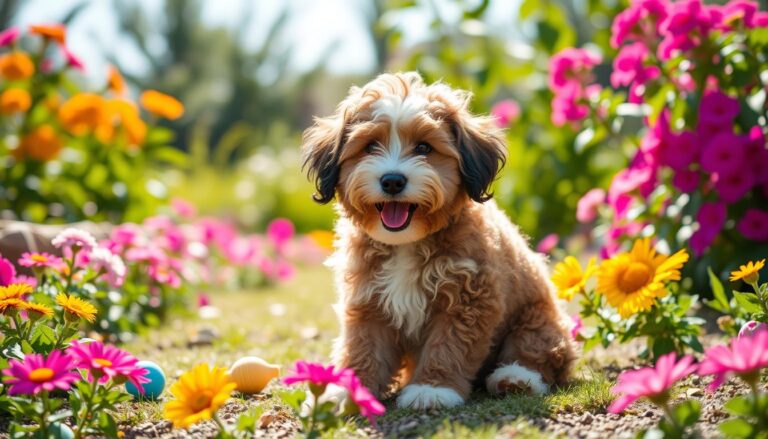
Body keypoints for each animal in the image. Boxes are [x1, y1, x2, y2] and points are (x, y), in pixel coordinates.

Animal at [300, 70, 576, 410]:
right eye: (370, 146)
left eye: (424, 148)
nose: (392, 181)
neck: (406, 244)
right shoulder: (368, 300)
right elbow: (364, 346)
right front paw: (348, 389)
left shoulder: (468, 300)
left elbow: (449, 346)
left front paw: (433, 389)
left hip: (539, 319)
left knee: (536, 349)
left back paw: (514, 377)